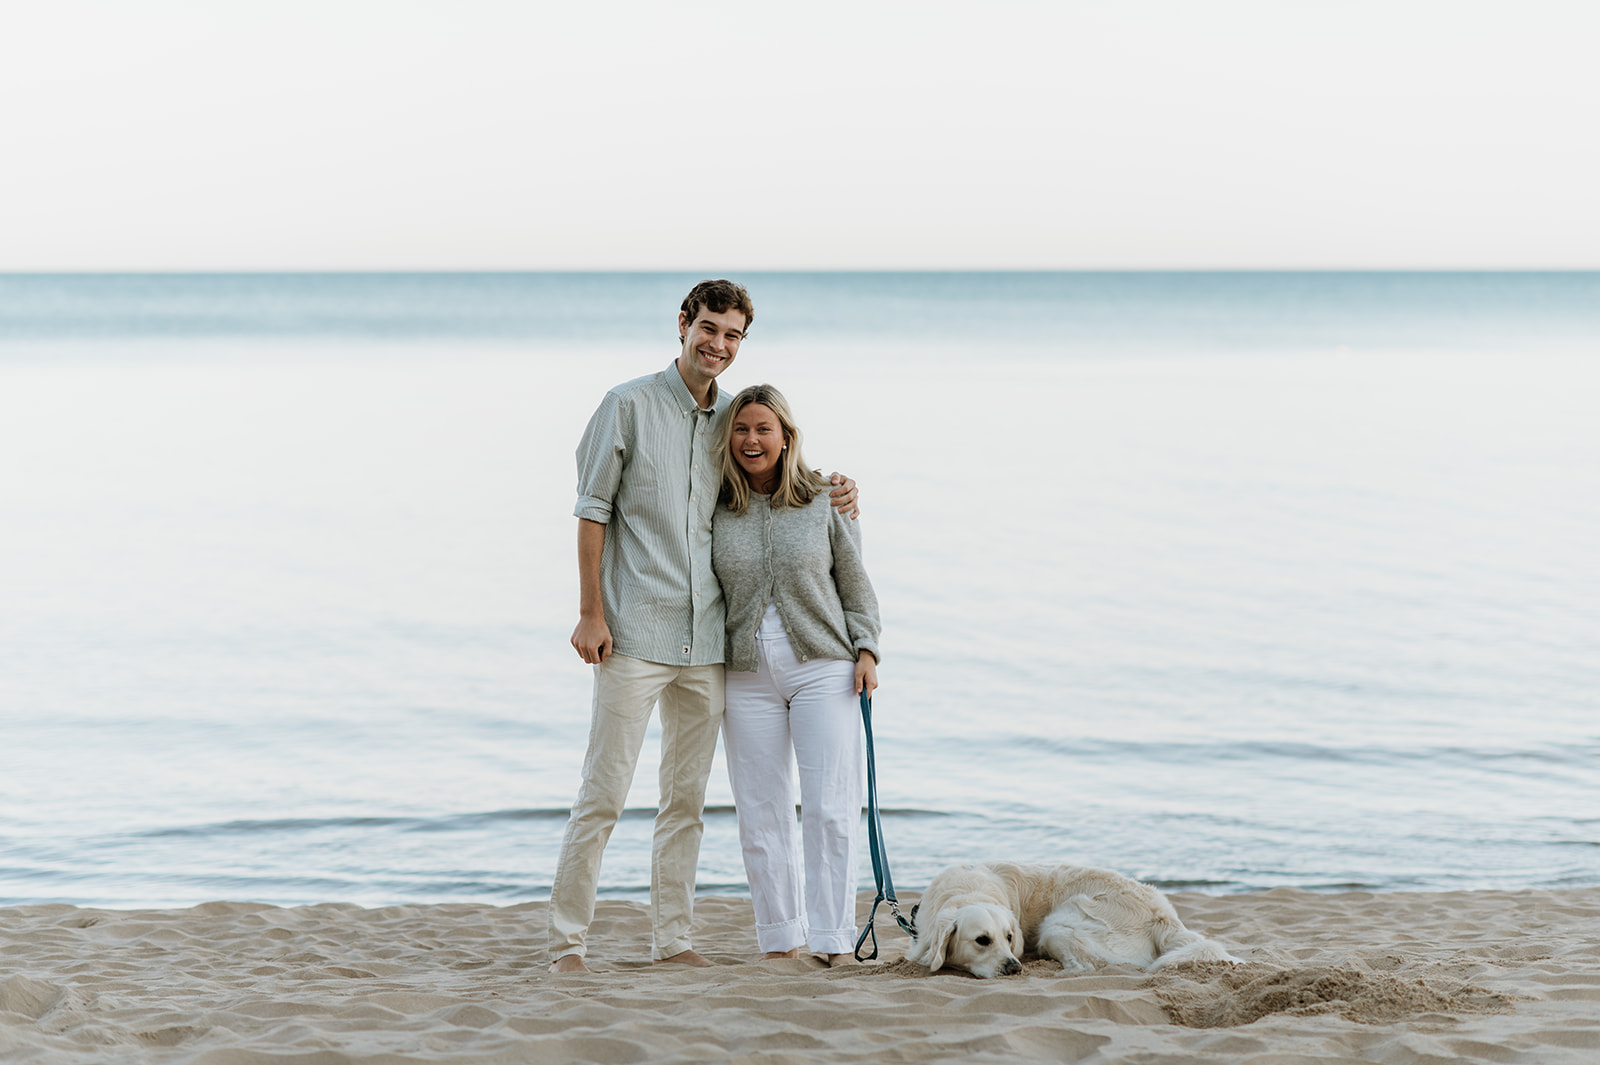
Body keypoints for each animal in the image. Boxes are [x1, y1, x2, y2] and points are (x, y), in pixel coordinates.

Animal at [908, 857, 1241, 972]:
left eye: (1009, 937)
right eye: (982, 940)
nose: (1014, 968)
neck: (968, 891)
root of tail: (1163, 915)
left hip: (1057, 925)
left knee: (1086, 966)